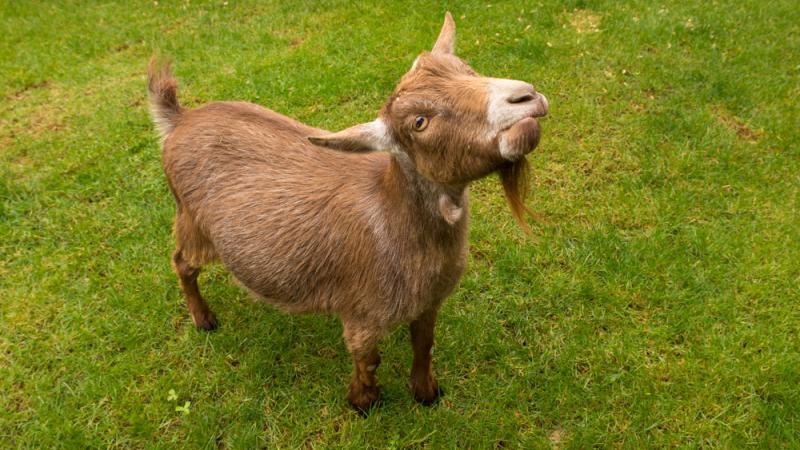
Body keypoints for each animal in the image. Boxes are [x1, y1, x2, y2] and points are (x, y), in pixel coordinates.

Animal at [147, 12, 548, 410]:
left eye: (468, 68)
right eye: (420, 122)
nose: (526, 98)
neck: (392, 217)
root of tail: (179, 119)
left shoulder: (428, 302)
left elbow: (424, 343)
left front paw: (426, 393)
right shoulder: (362, 315)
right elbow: (367, 358)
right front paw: (364, 402)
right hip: (192, 223)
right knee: (182, 262)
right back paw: (204, 319)